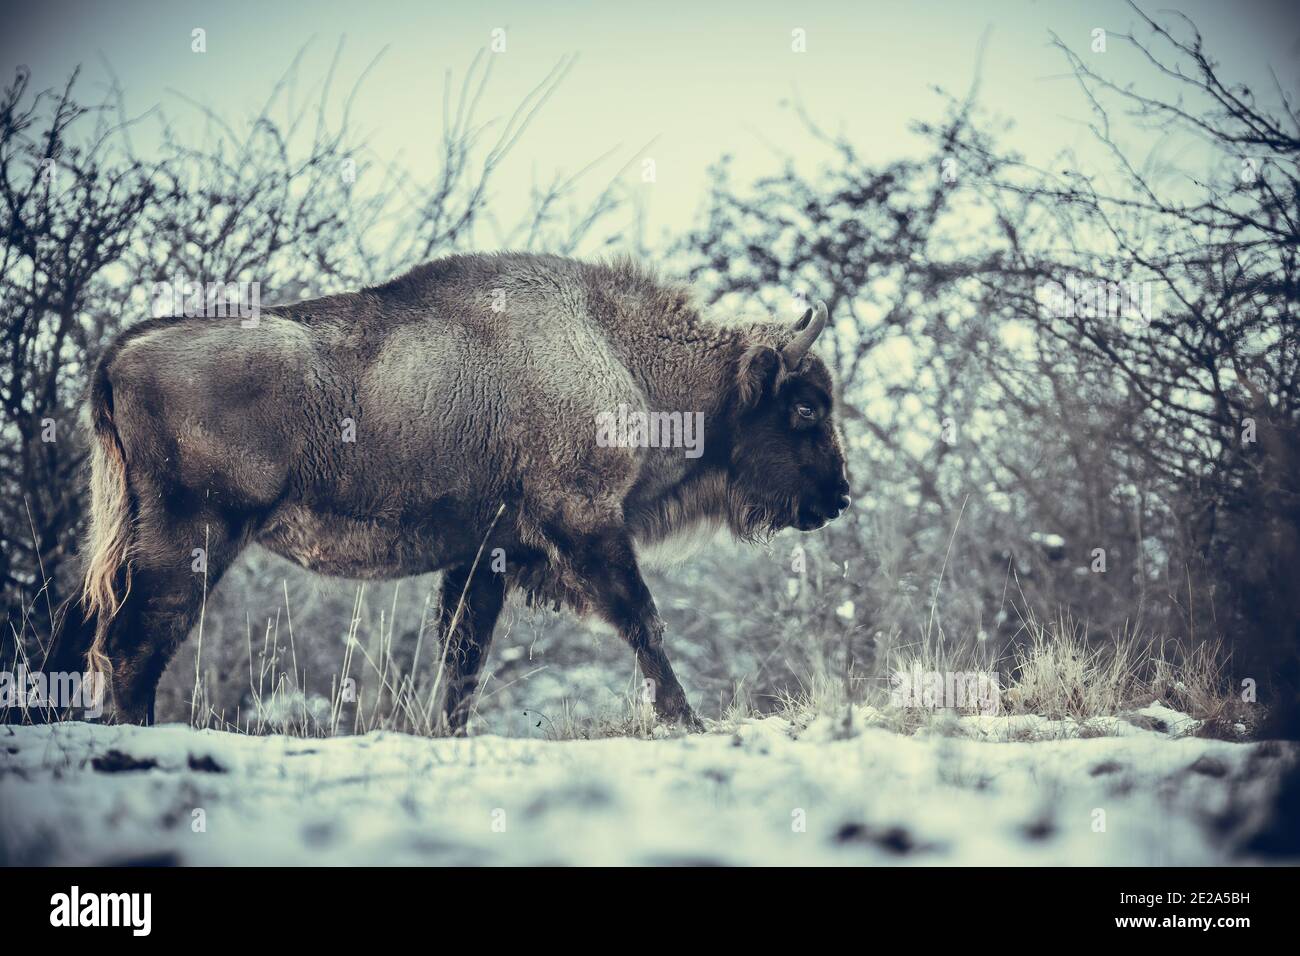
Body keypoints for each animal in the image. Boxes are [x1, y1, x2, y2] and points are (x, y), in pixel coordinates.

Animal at [45, 254, 847, 733]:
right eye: (806, 408)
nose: (839, 496)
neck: (620, 355)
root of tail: (121, 353)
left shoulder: (485, 553)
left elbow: (463, 655)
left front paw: (450, 732)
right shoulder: (586, 523)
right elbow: (641, 620)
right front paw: (687, 721)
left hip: (127, 538)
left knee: (85, 628)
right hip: (195, 536)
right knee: (134, 641)